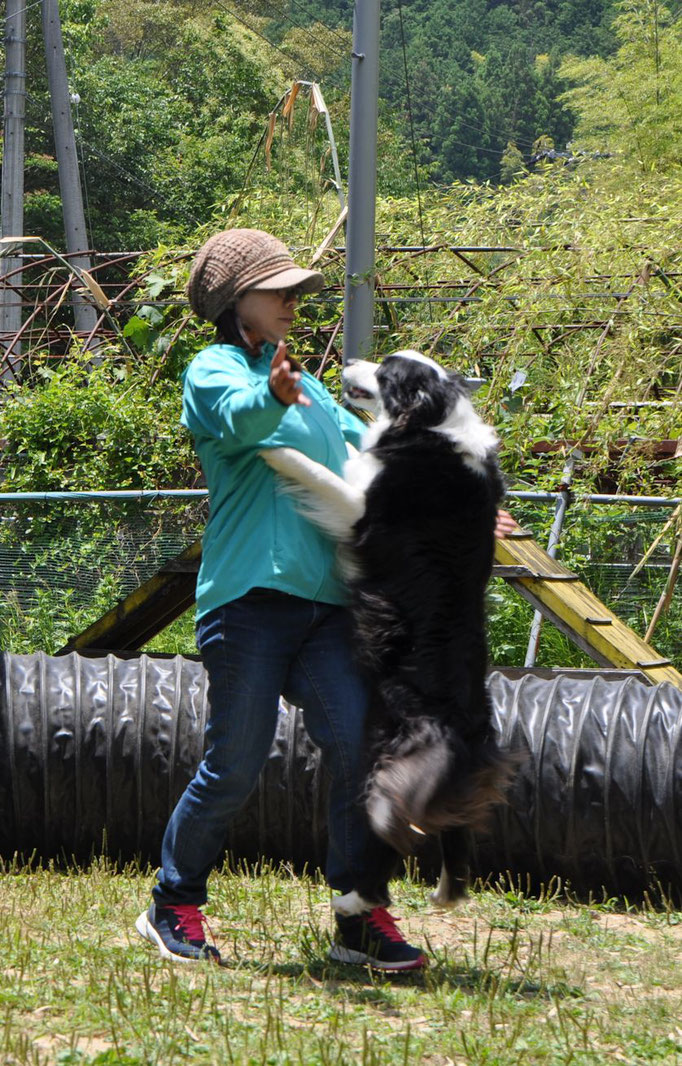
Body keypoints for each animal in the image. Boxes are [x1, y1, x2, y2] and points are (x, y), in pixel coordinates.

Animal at [261, 349, 511, 908]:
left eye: (386, 372)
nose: (350, 358)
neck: (430, 423)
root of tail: (464, 728)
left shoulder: (360, 511)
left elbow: (320, 473)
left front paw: (276, 451)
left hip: (396, 752)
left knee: (393, 819)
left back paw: (359, 894)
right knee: (453, 824)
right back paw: (445, 892)